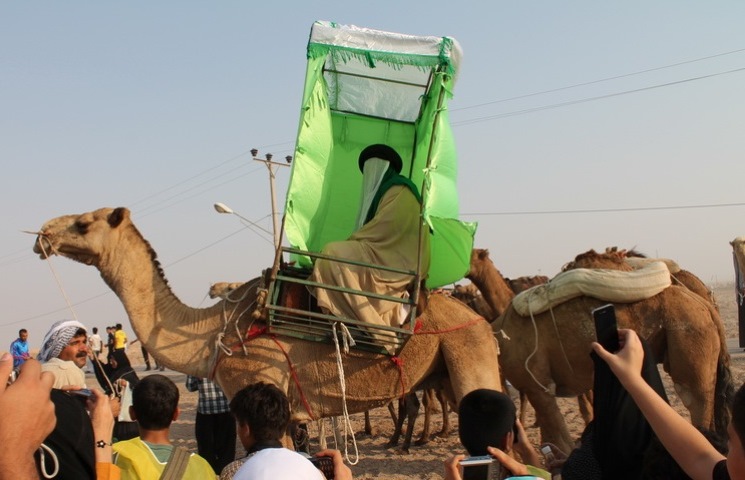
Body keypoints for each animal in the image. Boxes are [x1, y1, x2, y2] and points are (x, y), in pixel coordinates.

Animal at [33, 206, 500, 436]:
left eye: (83, 223)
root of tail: (478, 319)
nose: (43, 235)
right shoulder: (291, 412)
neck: (212, 333)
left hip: (466, 350)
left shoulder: (259, 384)